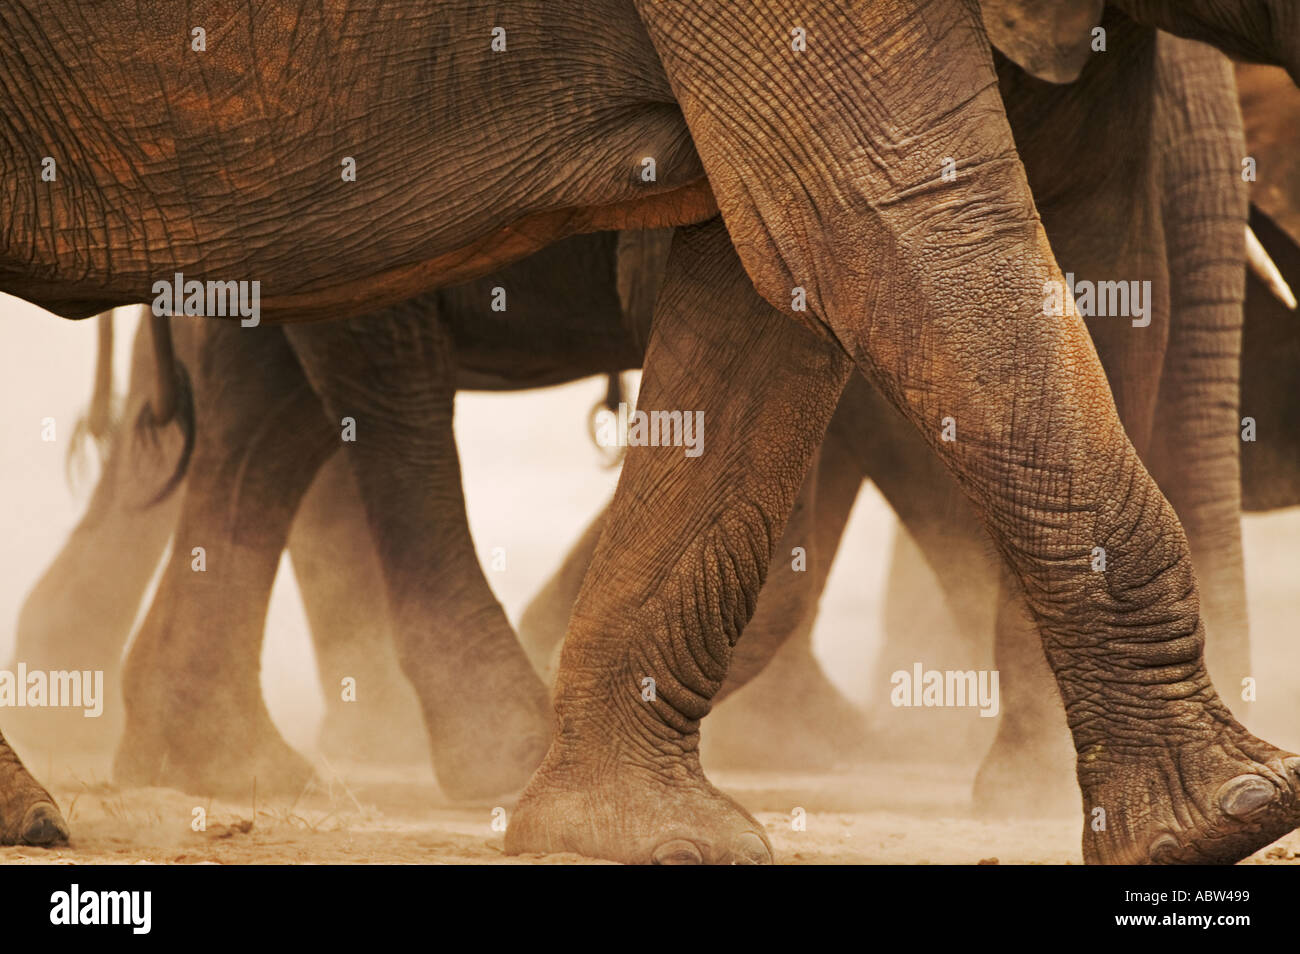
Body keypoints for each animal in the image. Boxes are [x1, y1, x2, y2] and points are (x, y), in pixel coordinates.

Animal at [3, 0, 1300, 864]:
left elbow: (779, 295)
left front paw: (631, 835)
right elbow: (886, 230)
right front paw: (1228, 815)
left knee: (271, 394)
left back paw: (202, 769)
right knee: (377, 379)